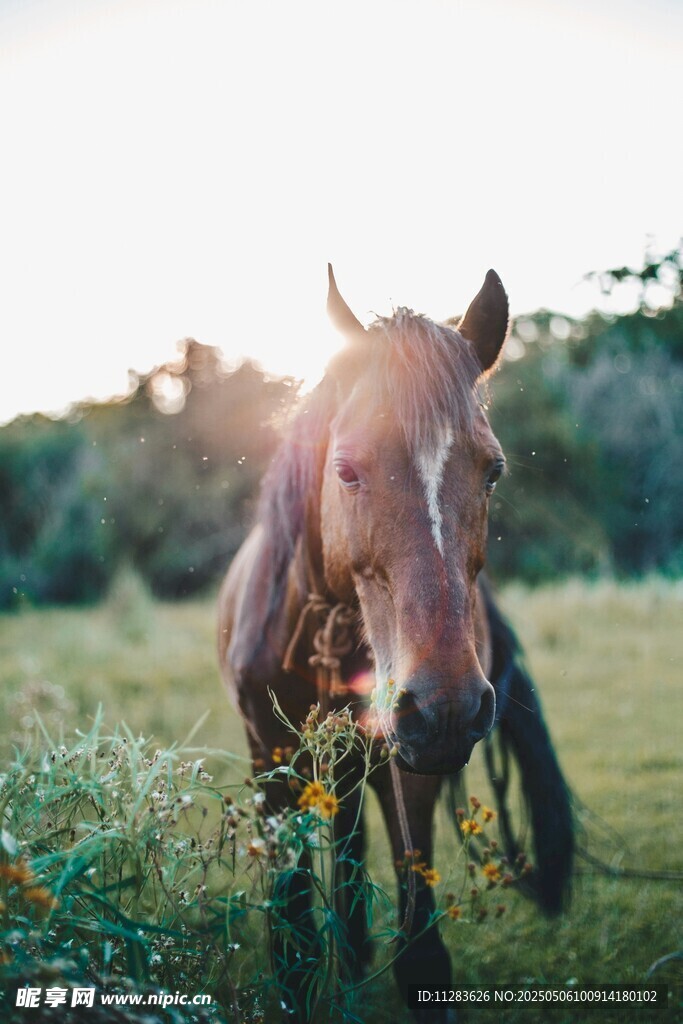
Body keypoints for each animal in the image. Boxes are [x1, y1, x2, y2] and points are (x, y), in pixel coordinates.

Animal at [218, 266, 574, 1023]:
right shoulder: (270, 764)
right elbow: (293, 949)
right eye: (346, 469)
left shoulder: (409, 768)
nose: (445, 705)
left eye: (493, 470)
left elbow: (421, 954)